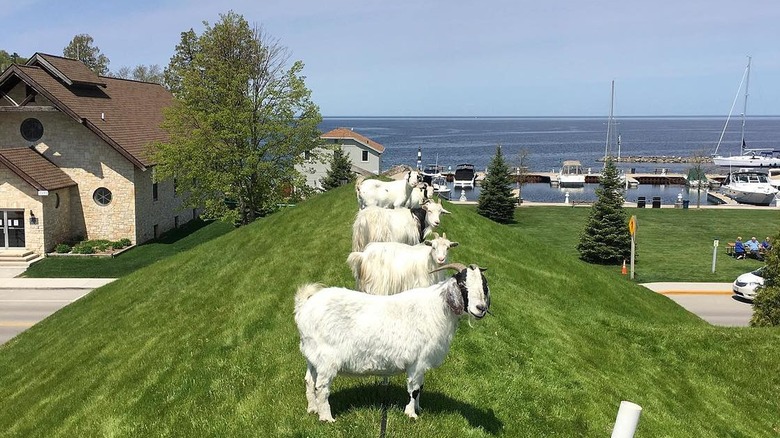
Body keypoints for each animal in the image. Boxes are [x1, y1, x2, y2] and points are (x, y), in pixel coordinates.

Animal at [296, 262, 490, 422]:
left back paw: (312, 409)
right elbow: (414, 389)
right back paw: (326, 418)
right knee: (321, 387)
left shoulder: (422, 364)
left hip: (312, 357)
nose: (480, 308)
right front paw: (411, 414)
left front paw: (419, 408)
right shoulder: (417, 362)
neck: (438, 309)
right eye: (463, 284)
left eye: (484, 286)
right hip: (327, 359)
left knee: (309, 381)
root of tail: (304, 307)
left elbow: (421, 386)